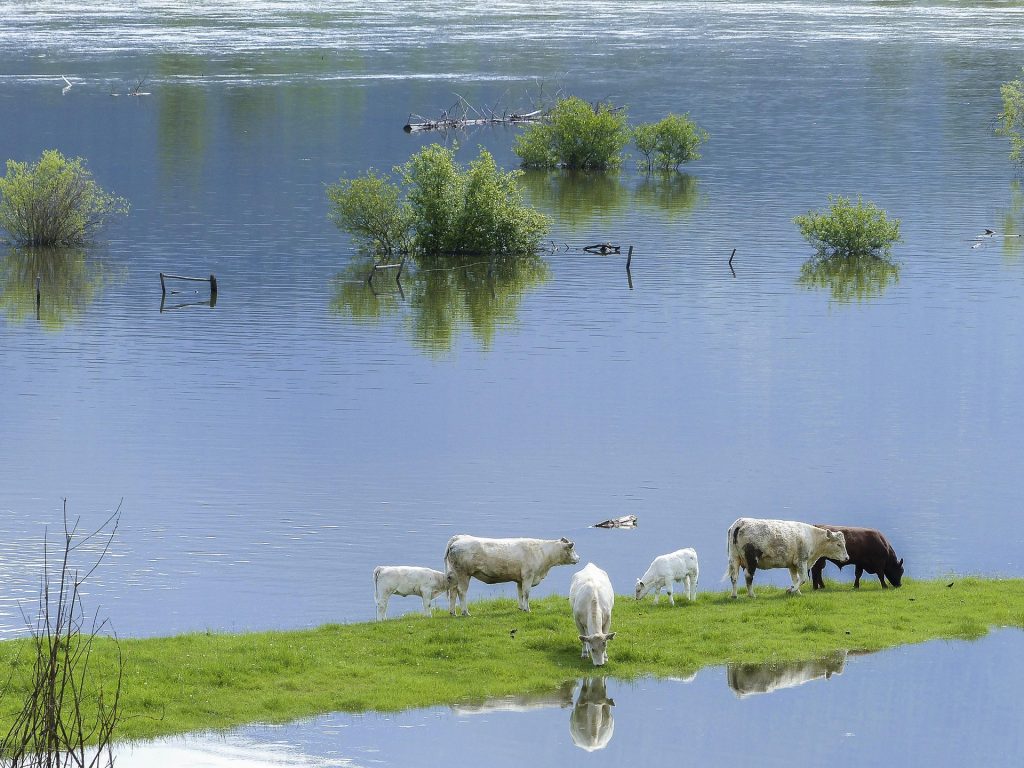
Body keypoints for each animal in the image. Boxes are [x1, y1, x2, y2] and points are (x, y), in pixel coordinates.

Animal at [444, 534, 580, 615]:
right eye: (572, 549)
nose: (578, 558)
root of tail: (459, 537)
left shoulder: (520, 579)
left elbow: (520, 593)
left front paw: (521, 608)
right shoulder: (528, 576)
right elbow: (526, 593)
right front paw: (527, 609)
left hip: (455, 574)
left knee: (453, 591)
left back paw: (453, 612)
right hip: (463, 574)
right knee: (461, 592)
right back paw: (465, 612)